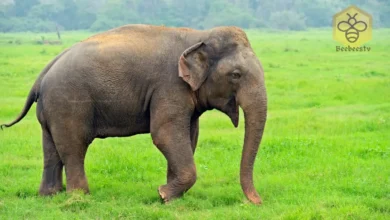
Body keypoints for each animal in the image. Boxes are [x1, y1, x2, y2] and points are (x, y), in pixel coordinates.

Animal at [1, 24, 266, 205]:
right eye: (236, 75)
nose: (257, 202)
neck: (198, 35)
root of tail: (44, 72)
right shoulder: (169, 85)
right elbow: (164, 134)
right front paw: (163, 194)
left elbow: (190, 136)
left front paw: (170, 197)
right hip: (68, 102)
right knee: (74, 145)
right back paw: (80, 197)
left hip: (51, 108)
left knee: (51, 148)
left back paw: (49, 196)